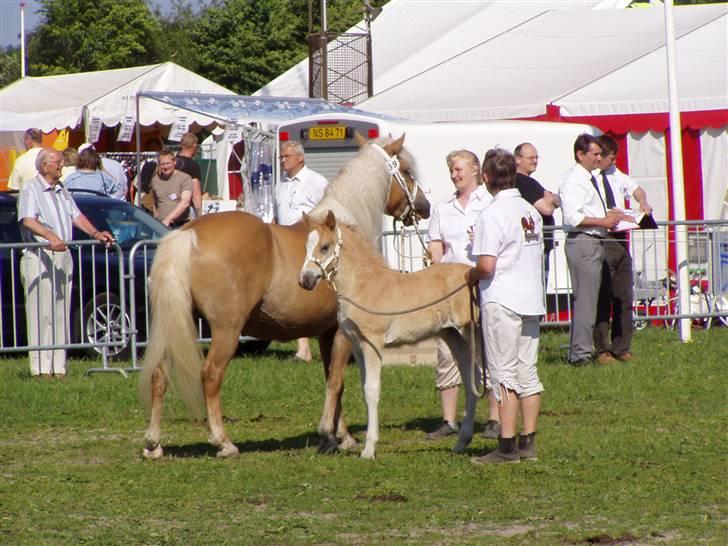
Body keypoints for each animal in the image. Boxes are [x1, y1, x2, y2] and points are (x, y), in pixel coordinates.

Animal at [139, 134, 430, 456]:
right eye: (406, 170)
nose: (424, 206)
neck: (344, 238)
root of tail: (188, 233)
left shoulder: (325, 332)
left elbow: (332, 379)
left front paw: (338, 435)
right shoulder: (342, 332)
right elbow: (337, 381)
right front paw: (336, 436)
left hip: (178, 321)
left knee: (159, 374)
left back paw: (153, 443)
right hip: (226, 329)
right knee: (211, 375)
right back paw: (223, 442)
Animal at [298, 210, 480, 456]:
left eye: (325, 247)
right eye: (306, 246)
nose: (305, 280)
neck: (362, 286)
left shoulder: (373, 343)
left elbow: (372, 391)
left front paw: (368, 449)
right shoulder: (357, 345)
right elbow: (365, 391)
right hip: (454, 337)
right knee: (471, 383)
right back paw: (461, 443)